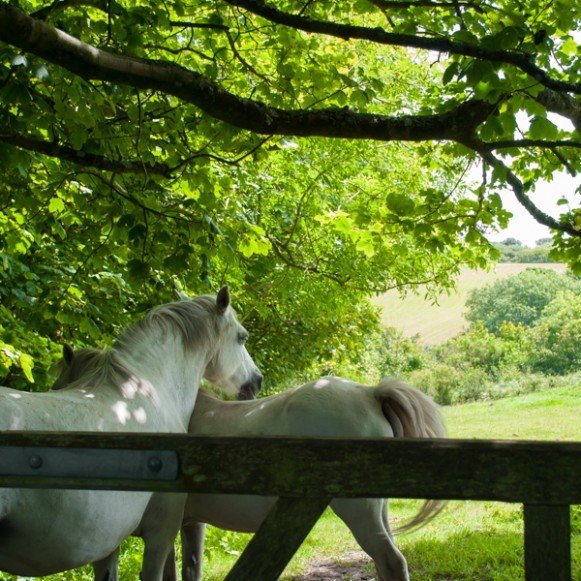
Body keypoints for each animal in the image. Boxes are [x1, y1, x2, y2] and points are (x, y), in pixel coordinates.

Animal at [55, 348, 444, 580]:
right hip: (377, 509)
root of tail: (368, 393)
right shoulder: (189, 524)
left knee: (391, 560)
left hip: (359, 510)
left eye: (60, 382)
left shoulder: (162, 526)